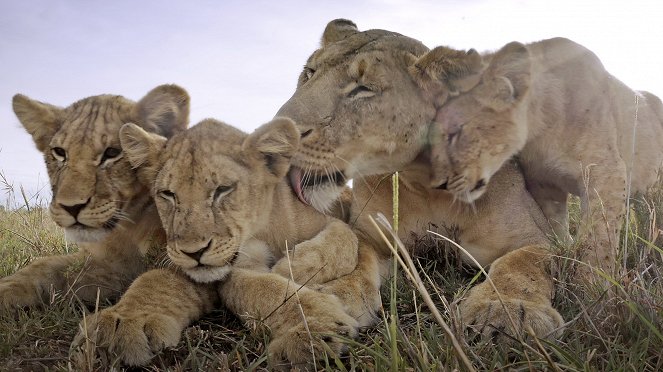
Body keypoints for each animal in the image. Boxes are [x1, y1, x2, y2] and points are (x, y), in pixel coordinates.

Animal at [1, 84, 195, 308]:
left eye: (112, 153)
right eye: (59, 152)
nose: (71, 207)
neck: (131, 227)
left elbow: (155, 283)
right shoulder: (112, 265)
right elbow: (43, 266)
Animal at [278, 19, 564, 340]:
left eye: (363, 89)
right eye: (309, 72)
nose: (279, 129)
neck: (427, 186)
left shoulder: (538, 238)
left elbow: (521, 263)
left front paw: (506, 309)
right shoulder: (376, 237)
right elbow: (357, 250)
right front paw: (337, 293)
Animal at [426, 39, 663, 274]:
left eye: (456, 131)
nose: (438, 183)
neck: (540, 131)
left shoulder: (606, 174)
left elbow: (597, 240)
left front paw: (590, 280)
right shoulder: (543, 183)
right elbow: (556, 227)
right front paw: (563, 256)